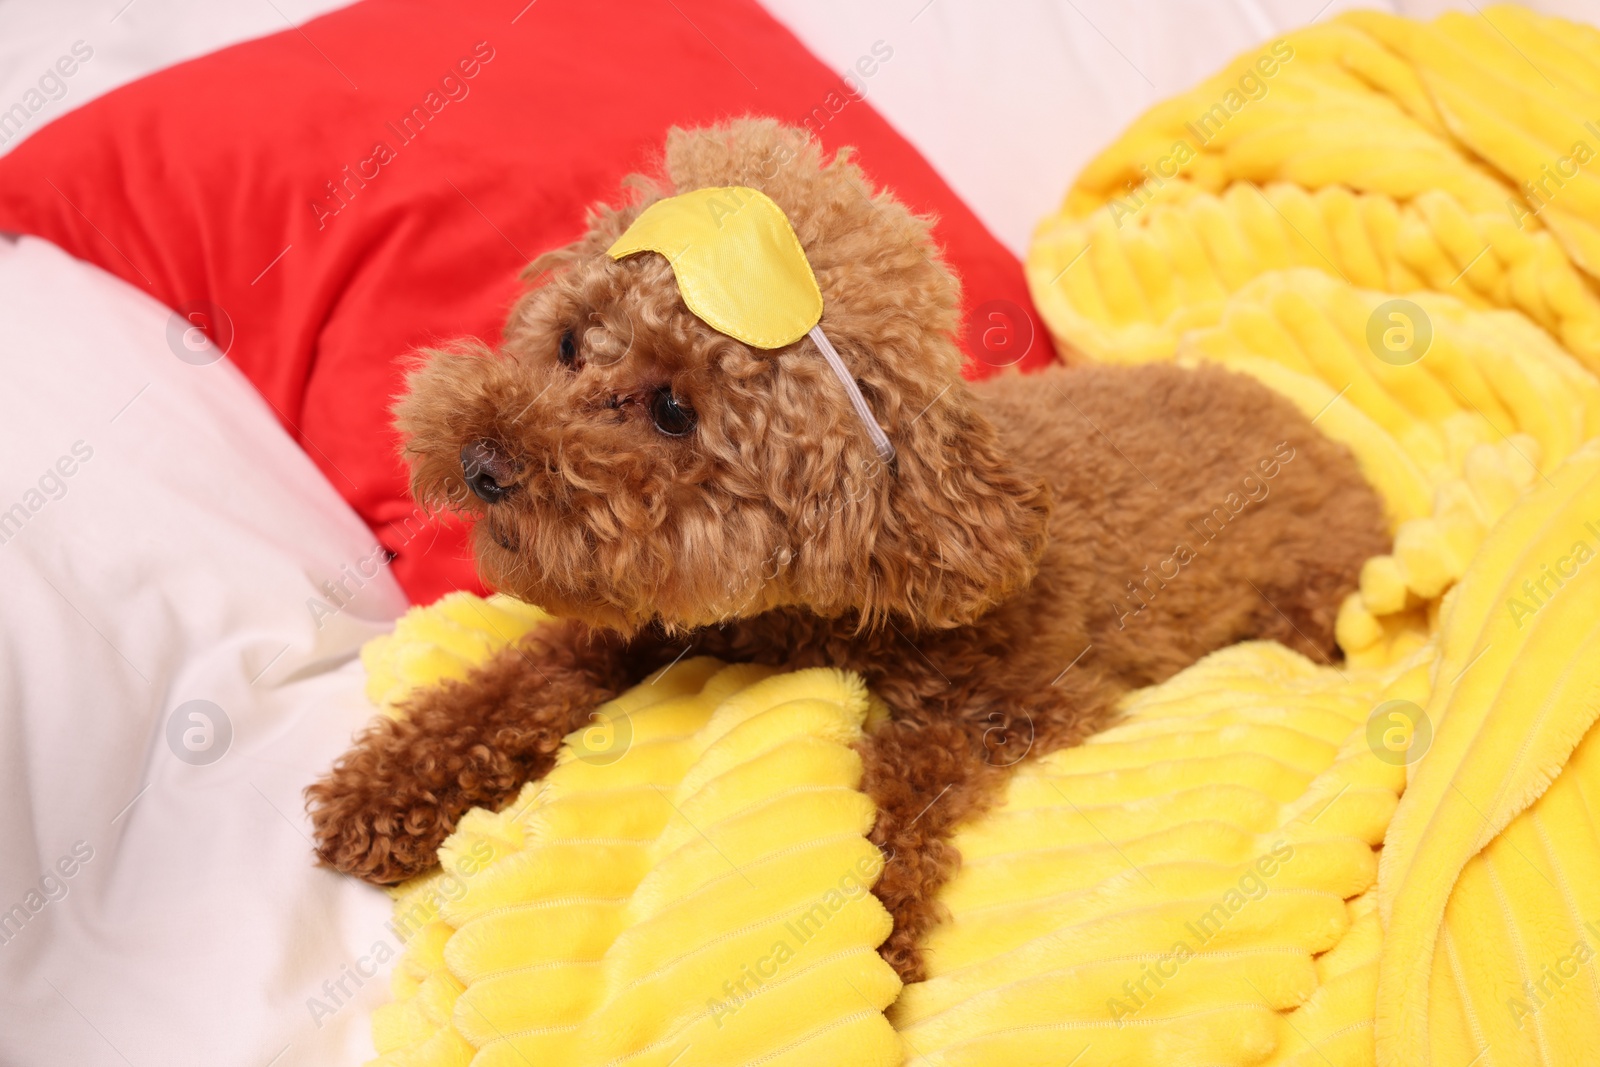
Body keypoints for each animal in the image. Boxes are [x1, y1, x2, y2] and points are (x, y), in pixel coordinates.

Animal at [308, 119, 1388, 985]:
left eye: (673, 410)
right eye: (571, 341)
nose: (482, 459)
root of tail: (1323, 433)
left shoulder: (1014, 702)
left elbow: (897, 790)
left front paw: (869, 929)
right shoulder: (642, 627)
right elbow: (514, 682)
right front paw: (382, 789)